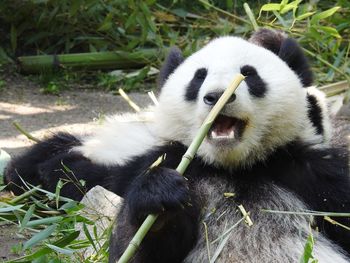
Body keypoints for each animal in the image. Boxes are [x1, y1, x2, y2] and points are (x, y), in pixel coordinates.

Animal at [4, 29, 350, 263]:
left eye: (249, 74)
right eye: (198, 78)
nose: (216, 96)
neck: (233, 169)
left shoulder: (311, 176)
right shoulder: (166, 163)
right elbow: (134, 245)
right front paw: (158, 197)